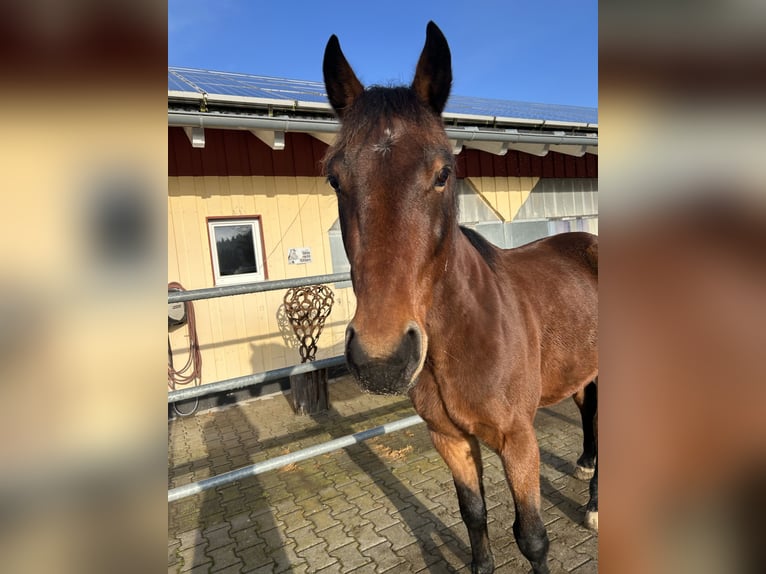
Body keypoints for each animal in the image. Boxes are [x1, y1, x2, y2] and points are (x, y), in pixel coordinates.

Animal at [324, 22, 600, 574]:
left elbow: (531, 536)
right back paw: (585, 466)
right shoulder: (449, 439)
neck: (470, 332)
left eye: (443, 173)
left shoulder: (518, 441)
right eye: (335, 178)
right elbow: (474, 515)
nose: (382, 359)